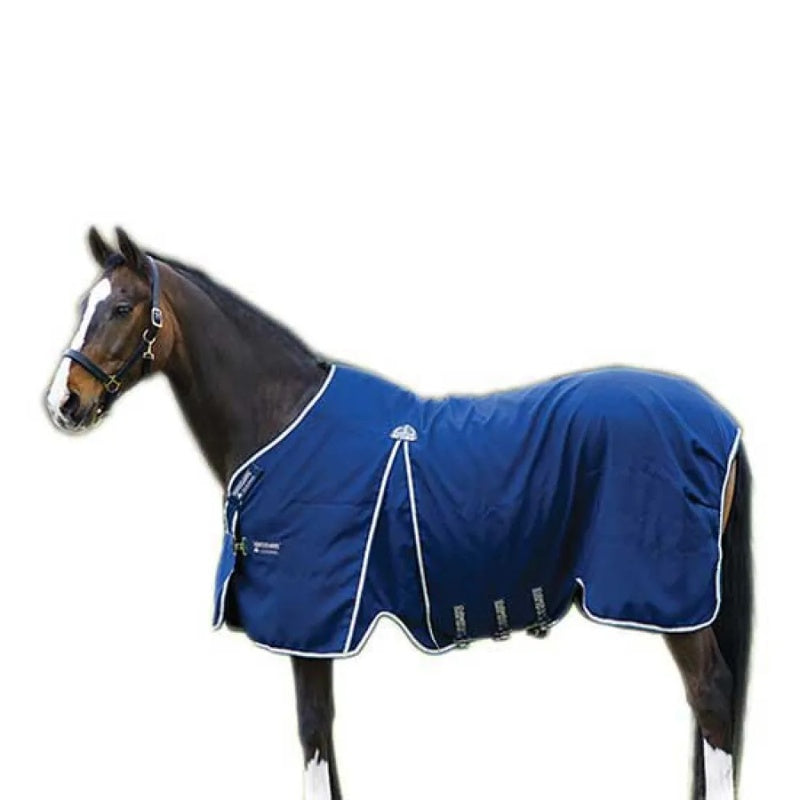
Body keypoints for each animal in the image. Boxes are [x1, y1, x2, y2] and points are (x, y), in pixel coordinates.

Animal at [45, 228, 752, 800]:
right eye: (82, 307)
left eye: (121, 308)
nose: (63, 402)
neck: (283, 417)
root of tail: (721, 421)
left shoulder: (310, 623)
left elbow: (314, 735)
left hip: (673, 599)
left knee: (711, 697)